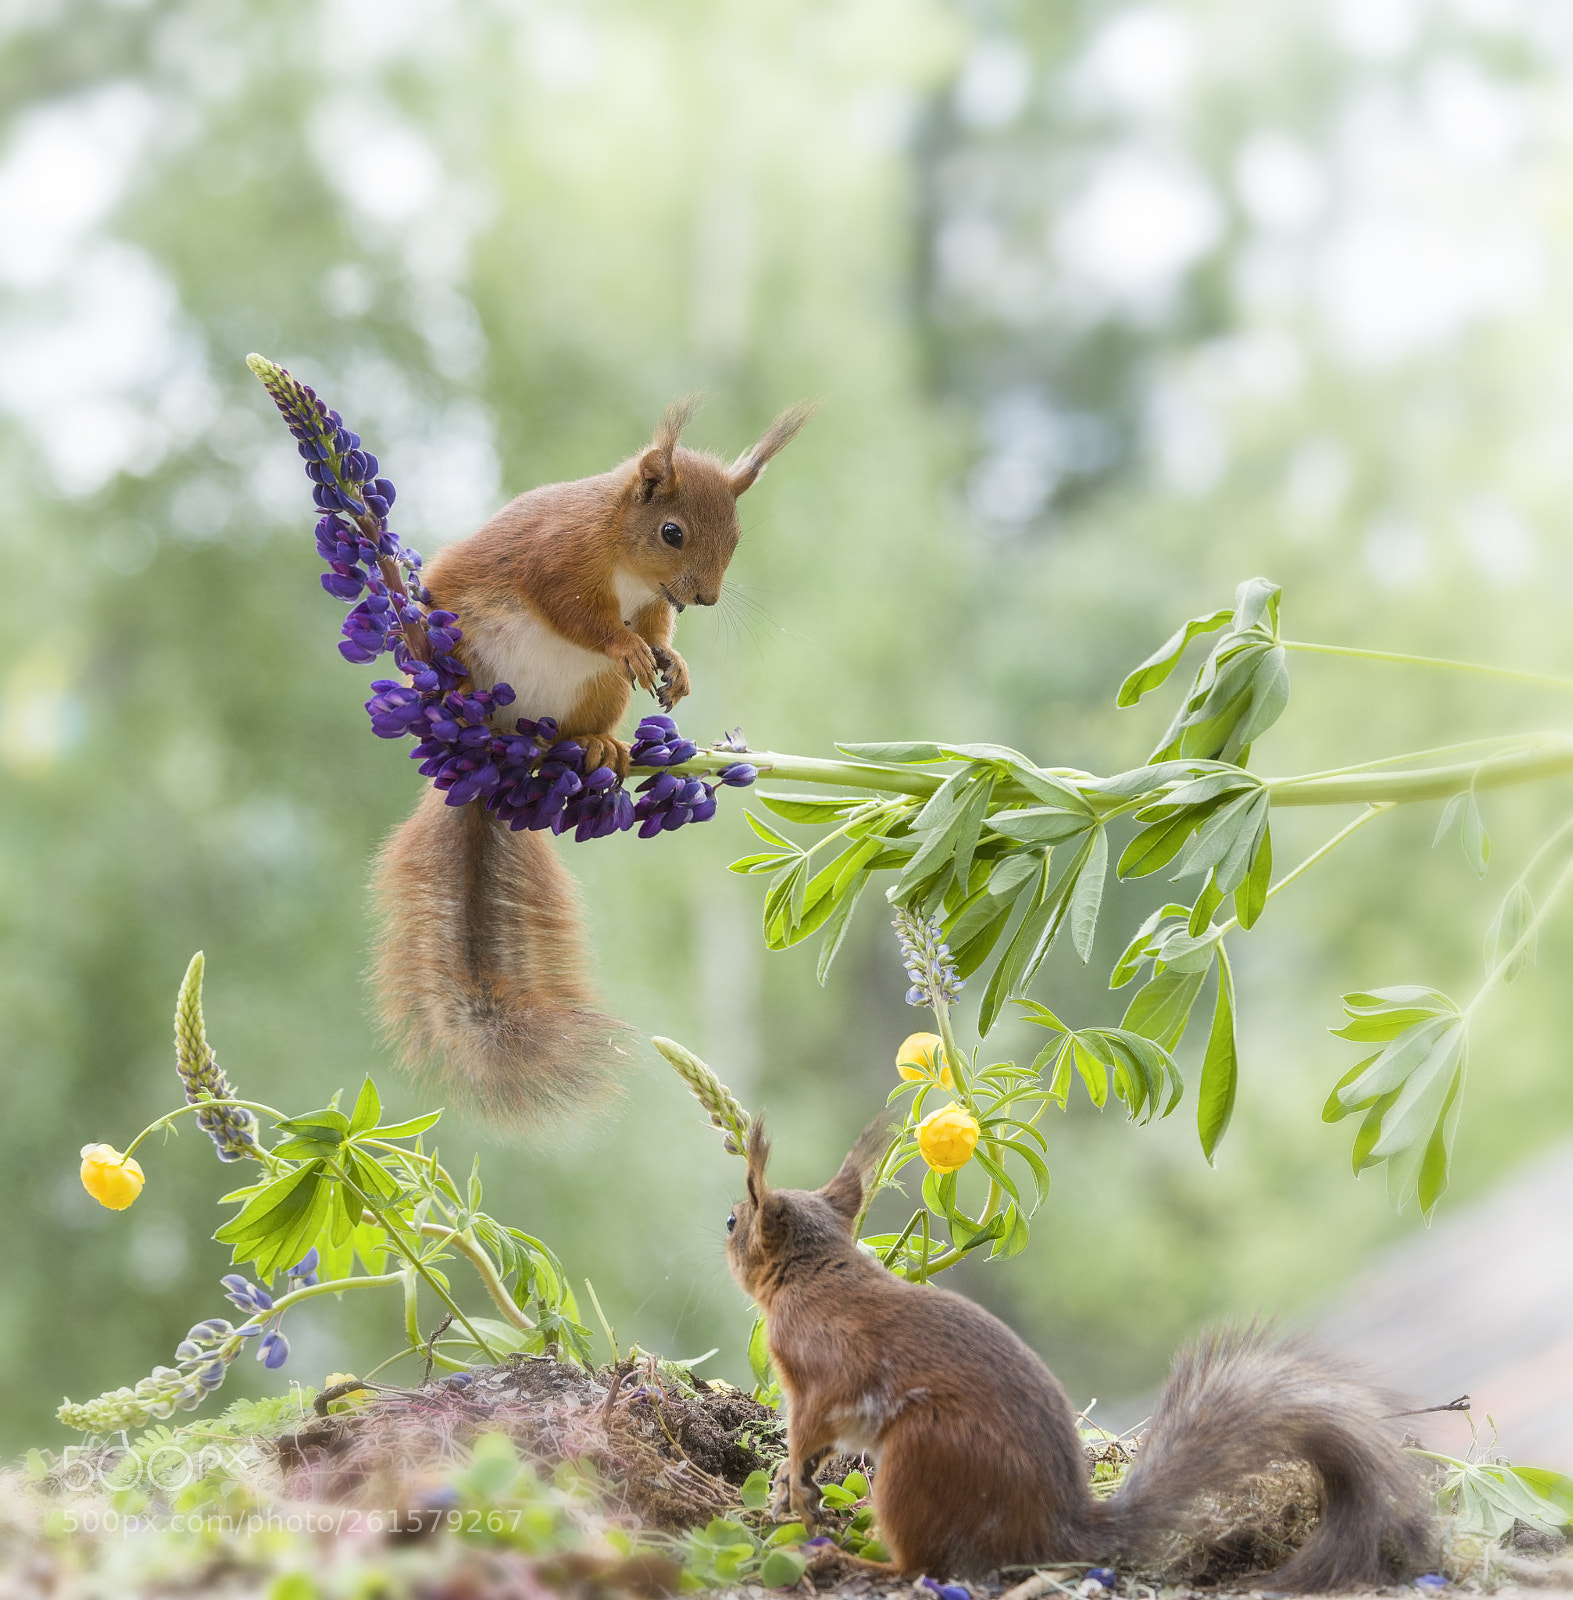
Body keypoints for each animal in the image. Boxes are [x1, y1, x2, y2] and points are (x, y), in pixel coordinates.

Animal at [373, 398, 814, 1122]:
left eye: (736, 536)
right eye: (671, 532)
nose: (705, 598)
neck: (626, 561)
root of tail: (498, 760)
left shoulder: (654, 604)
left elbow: (658, 632)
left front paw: (673, 662)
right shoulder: (555, 556)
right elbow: (578, 616)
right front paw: (625, 643)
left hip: (595, 695)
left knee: (583, 727)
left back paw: (597, 745)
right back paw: (461, 702)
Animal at [726, 1121, 1434, 1590]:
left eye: (735, 1220)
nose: (722, 1228)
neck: (816, 1271)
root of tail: (1054, 1530)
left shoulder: (819, 1371)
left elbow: (808, 1426)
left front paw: (793, 1484)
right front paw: (795, 1484)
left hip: (923, 1458)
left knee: (923, 1567)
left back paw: (843, 1557)